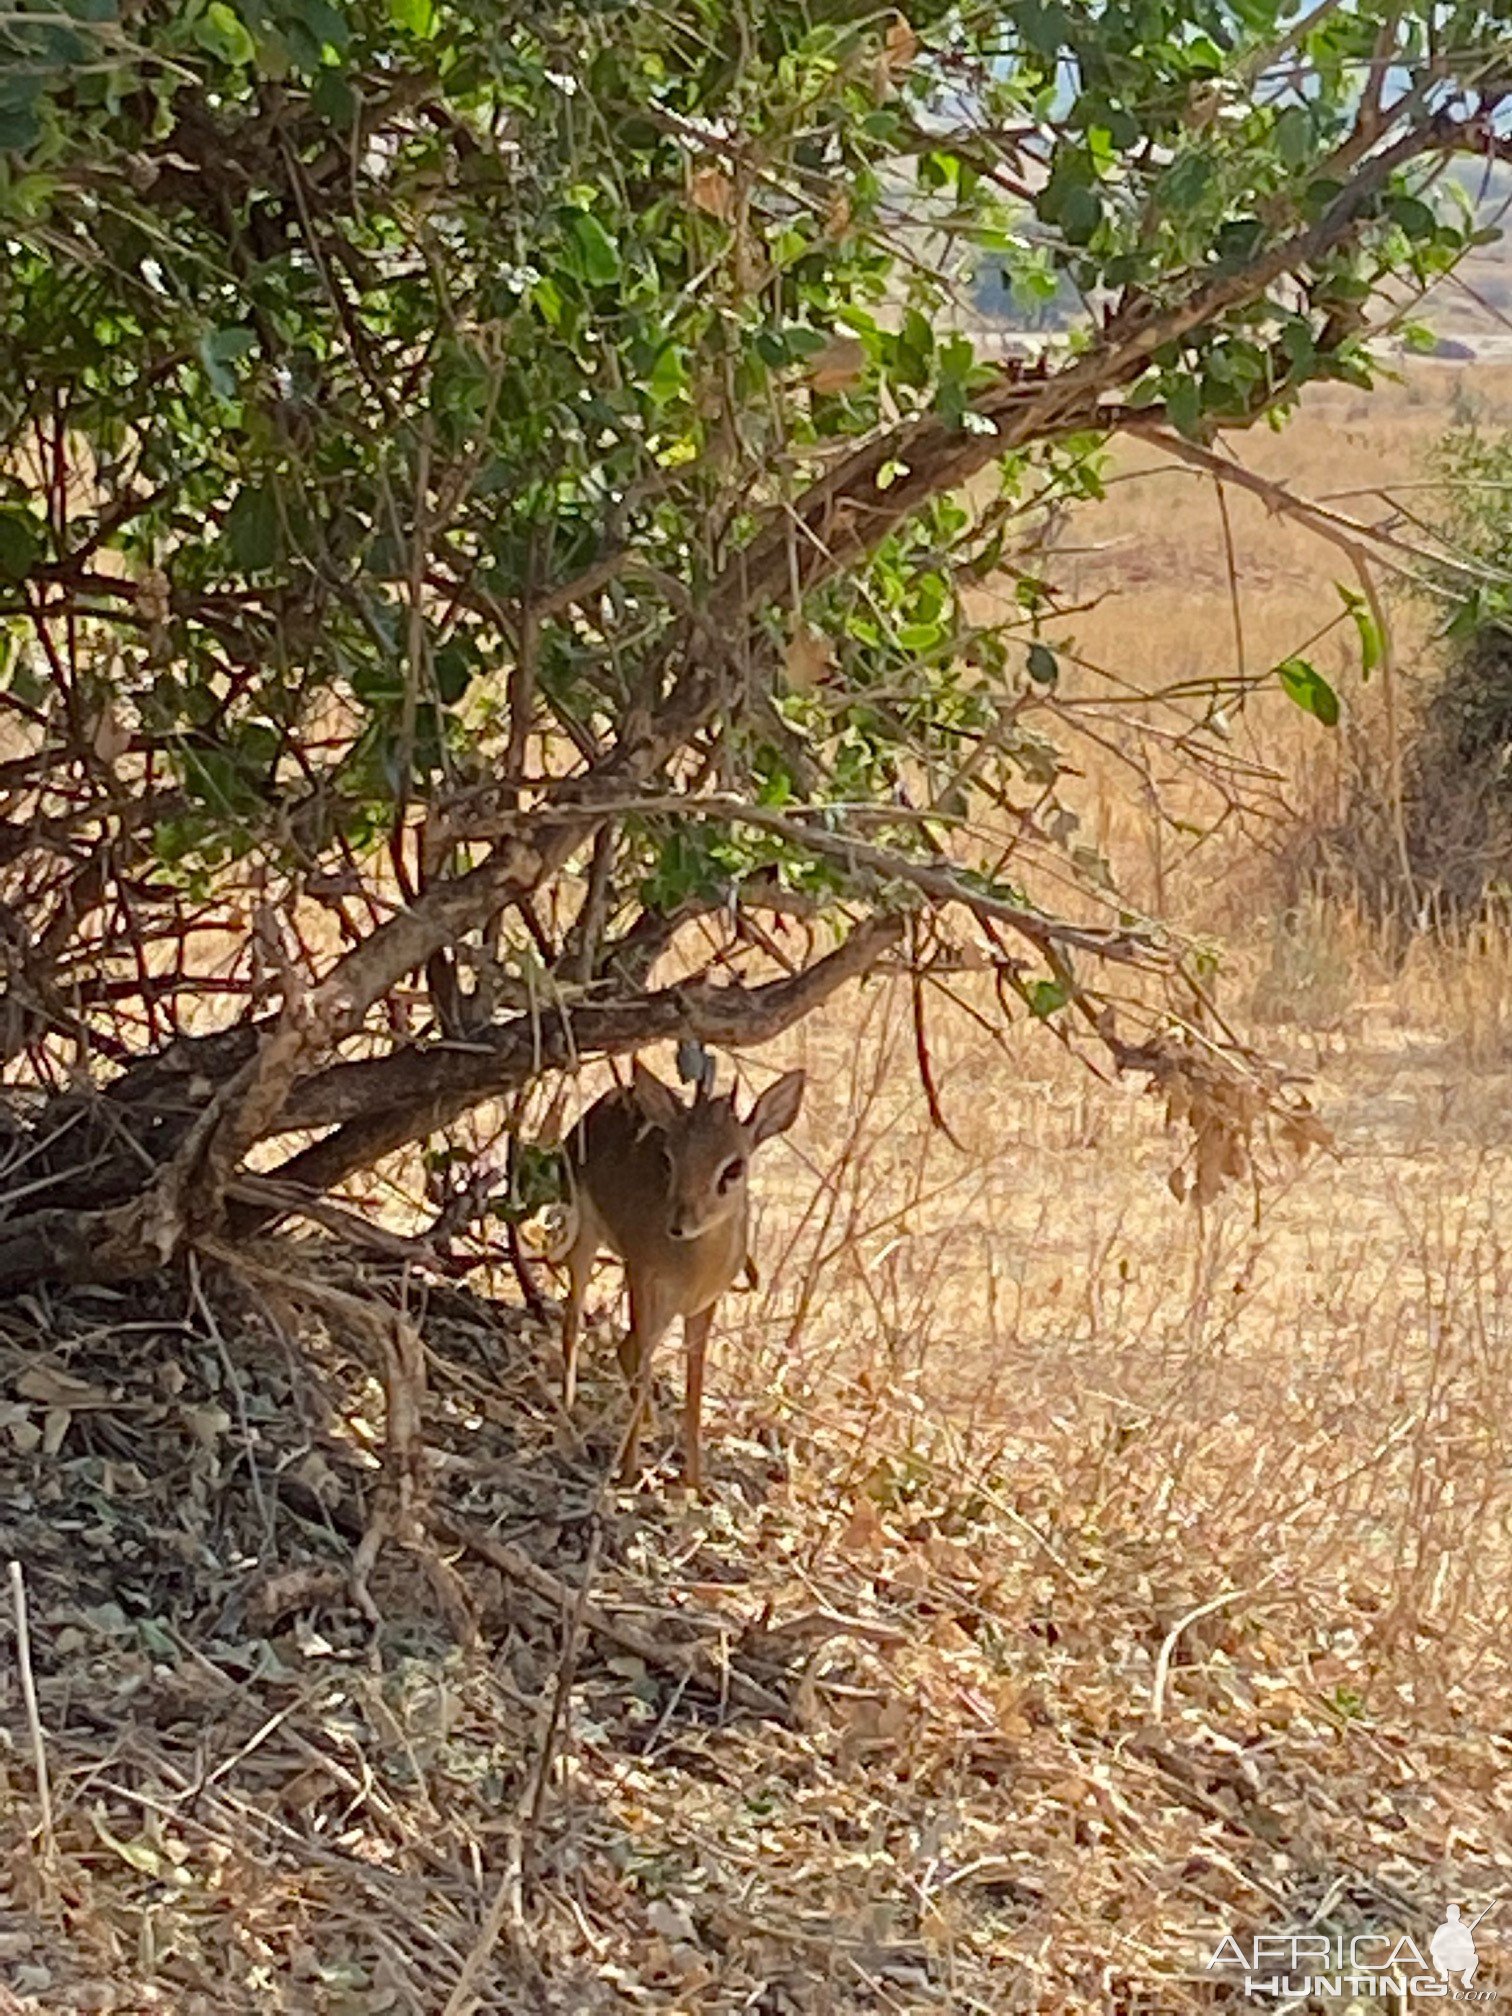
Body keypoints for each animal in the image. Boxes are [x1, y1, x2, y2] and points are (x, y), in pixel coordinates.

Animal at [564, 1064, 810, 1491]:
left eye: (734, 1167)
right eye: (668, 1158)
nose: (679, 1224)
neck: (692, 1265)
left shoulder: (703, 1305)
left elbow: (694, 1387)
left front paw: (695, 1483)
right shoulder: (641, 1275)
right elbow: (644, 1367)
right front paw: (629, 1473)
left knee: (624, 1349)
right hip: (588, 1238)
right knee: (575, 1319)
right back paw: (567, 1418)